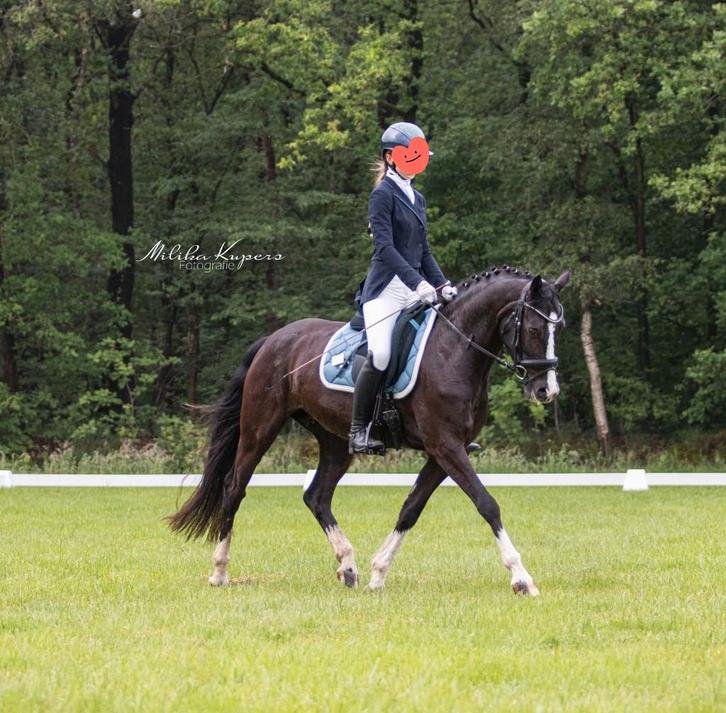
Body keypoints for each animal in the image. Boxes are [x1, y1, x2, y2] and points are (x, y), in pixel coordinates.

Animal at [167, 266, 570, 595]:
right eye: (534, 328)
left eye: (559, 328)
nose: (547, 391)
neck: (454, 350)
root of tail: (273, 339)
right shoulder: (446, 447)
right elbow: (487, 504)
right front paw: (521, 578)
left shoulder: (442, 453)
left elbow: (410, 509)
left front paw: (378, 573)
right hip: (259, 427)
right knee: (235, 487)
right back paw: (219, 572)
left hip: (334, 441)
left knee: (316, 496)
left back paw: (348, 567)